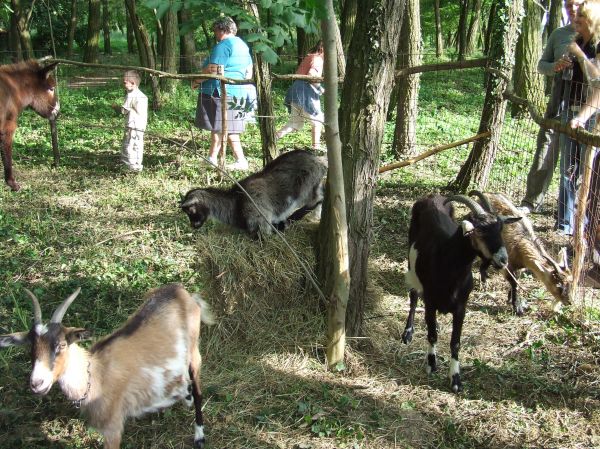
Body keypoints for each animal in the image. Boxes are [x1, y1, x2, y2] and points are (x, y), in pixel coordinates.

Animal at [0, 284, 214, 448]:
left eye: (61, 345)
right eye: (30, 347)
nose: (37, 383)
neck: (95, 375)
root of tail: (181, 291)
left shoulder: (113, 427)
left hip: (194, 353)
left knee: (198, 390)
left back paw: (199, 436)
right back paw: (184, 396)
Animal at [180, 149, 326, 236]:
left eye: (191, 210)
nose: (193, 226)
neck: (236, 202)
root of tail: (318, 160)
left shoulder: (259, 217)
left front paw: (281, 226)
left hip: (306, 183)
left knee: (316, 198)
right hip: (314, 183)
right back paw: (315, 217)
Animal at [400, 194, 516, 390]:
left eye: (501, 229)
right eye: (480, 230)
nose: (503, 260)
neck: (448, 261)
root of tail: (432, 196)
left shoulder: (461, 306)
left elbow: (455, 342)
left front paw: (455, 379)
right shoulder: (431, 301)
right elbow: (432, 335)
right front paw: (432, 364)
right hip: (411, 258)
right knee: (414, 294)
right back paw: (408, 332)